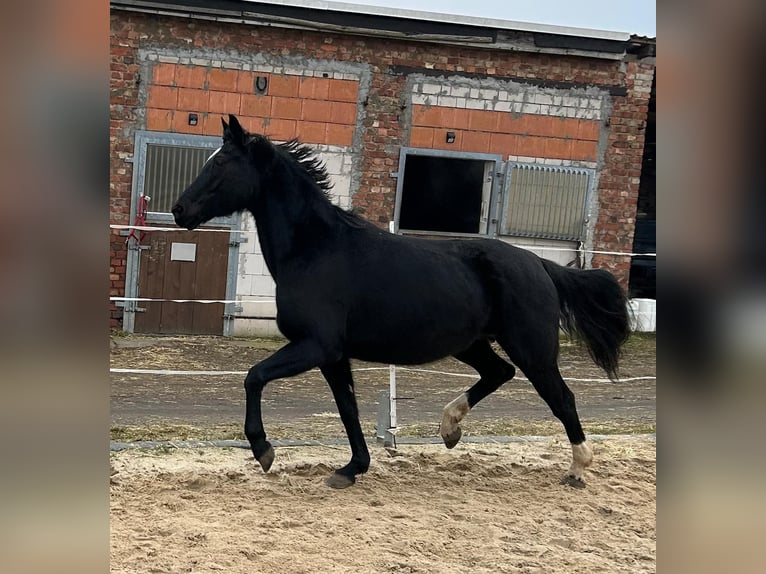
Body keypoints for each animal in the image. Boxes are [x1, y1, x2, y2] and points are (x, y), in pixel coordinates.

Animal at [172, 116, 632, 490]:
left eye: (220, 164)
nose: (180, 210)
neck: (315, 250)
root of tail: (538, 263)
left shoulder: (316, 346)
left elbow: (254, 377)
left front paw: (263, 450)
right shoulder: (333, 355)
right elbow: (348, 409)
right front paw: (352, 468)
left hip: (532, 348)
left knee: (562, 398)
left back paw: (577, 469)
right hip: (472, 344)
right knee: (499, 372)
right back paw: (449, 428)